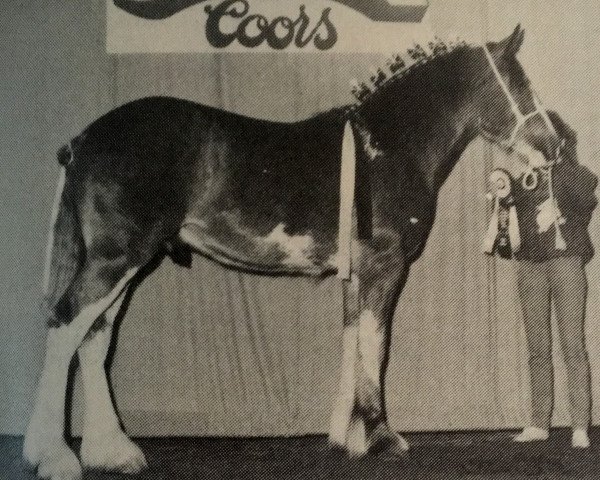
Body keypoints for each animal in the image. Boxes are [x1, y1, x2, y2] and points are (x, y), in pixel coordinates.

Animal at [24, 27, 564, 480]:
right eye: (519, 83)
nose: (555, 146)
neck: (385, 147)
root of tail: (82, 140)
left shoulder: (355, 272)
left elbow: (352, 339)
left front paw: (346, 439)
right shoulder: (385, 266)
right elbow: (376, 343)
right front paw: (382, 437)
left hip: (123, 262)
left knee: (94, 337)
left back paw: (112, 452)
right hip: (118, 257)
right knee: (68, 325)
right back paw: (53, 456)